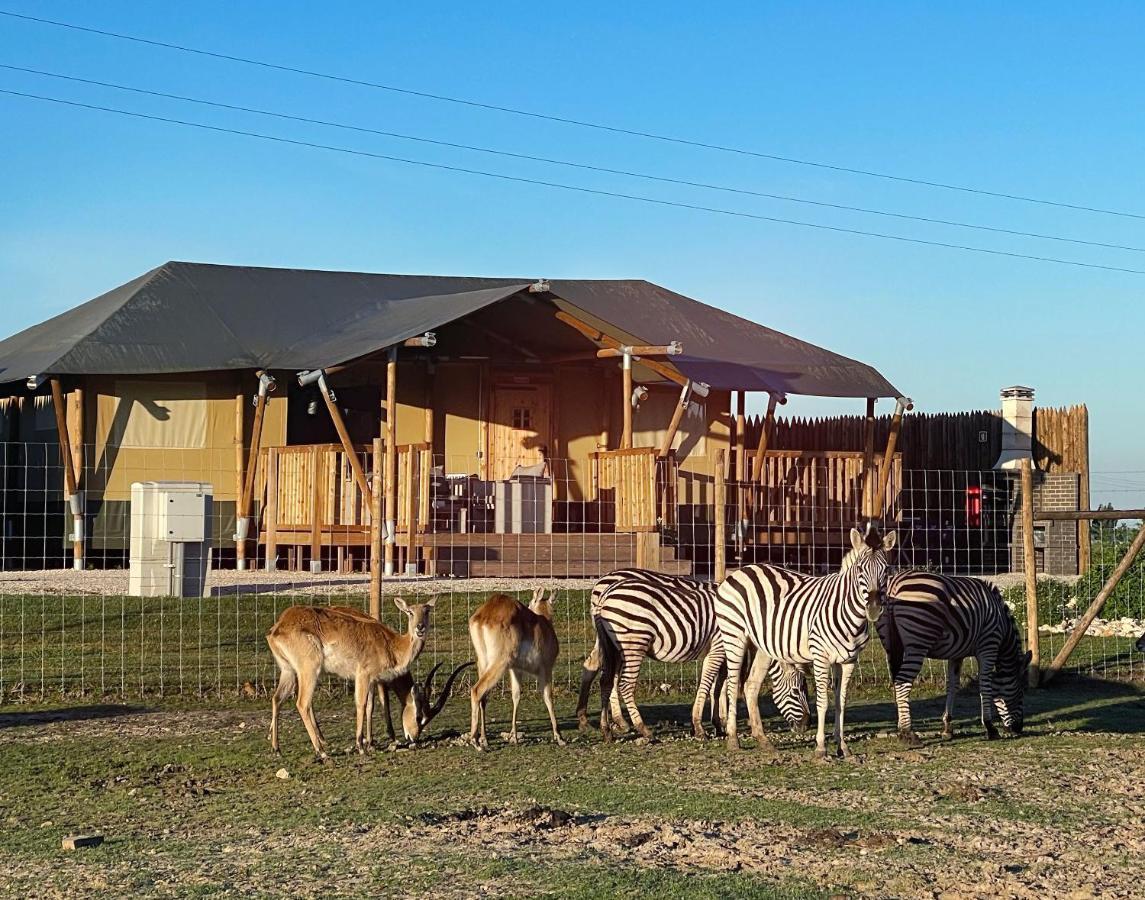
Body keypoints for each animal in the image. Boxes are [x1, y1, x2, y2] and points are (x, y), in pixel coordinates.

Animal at [267, 595, 437, 755]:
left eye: (427, 611)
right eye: (410, 612)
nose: (420, 627)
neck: (390, 645)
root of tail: (276, 629)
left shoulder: (372, 680)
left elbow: (370, 706)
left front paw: (370, 744)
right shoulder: (363, 675)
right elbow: (361, 705)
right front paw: (361, 746)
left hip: (288, 671)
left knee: (277, 698)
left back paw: (277, 748)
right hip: (309, 670)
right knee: (302, 703)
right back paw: (322, 752)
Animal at [469, 586, 563, 746]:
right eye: (530, 602)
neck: (544, 624)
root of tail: (484, 615)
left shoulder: (516, 669)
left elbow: (516, 695)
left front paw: (514, 736)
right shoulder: (546, 669)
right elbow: (548, 697)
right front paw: (559, 736)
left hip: (483, 661)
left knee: (483, 697)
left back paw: (484, 739)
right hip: (499, 663)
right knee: (476, 690)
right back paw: (475, 741)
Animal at [577, 567, 810, 737]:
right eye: (797, 691)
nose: (806, 725)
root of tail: (605, 587)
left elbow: (719, 685)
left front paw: (719, 722)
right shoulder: (719, 646)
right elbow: (712, 683)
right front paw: (703, 726)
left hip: (612, 644)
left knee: (600, 673)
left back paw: (602, 724)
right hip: (632, 642)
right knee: (622, 682)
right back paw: (639, 728)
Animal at [714, 526, 893, 755]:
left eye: (886, 570)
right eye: (860, 569)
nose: (874, 608)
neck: (847, 613)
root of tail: (739, 571)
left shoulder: (848, 661)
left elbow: (841, 702)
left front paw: (842, 746)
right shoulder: (820, 657)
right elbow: (823, 702)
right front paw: (821, 747)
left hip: (761, 646)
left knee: (751, 686)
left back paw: (763, 740)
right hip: (734, 635)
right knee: (732, 684)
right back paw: (733, 739)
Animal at [838, 547, 1035, 741]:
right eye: (1020, 694)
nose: (1018, 729)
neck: (1002, 624)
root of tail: (893, 586)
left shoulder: (957, 653)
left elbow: (952, 685)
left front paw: (947, 726)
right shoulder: (988, 645)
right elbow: (985, 685)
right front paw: (990, 727)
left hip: (891, 644)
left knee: (896, 680)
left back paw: (901, 726)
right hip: (918, 643)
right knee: (902, 682)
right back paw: (907, 732)